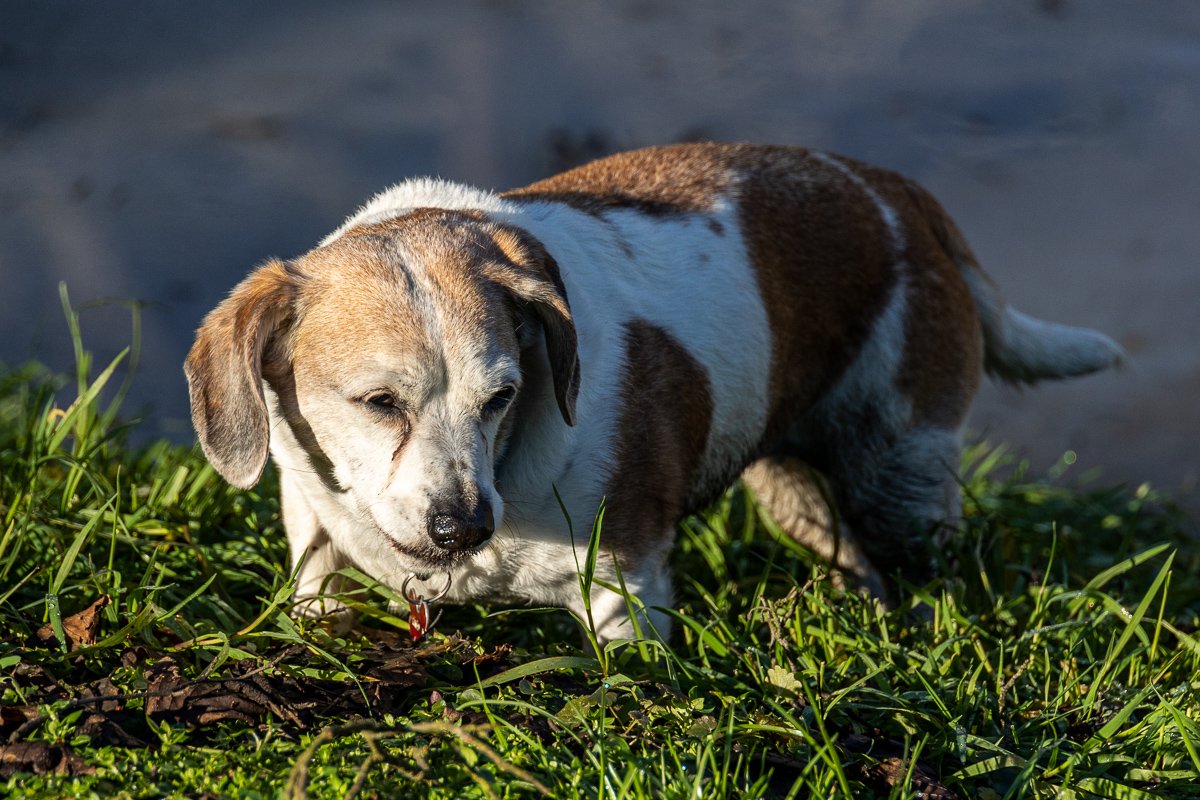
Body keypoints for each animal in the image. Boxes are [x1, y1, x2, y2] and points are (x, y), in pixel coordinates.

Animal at [182, 143, 1118, 642]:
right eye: (380, 403)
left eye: (502, 397)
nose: (463, 527)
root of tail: (898, 195)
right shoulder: (315, 543)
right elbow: (317, 588)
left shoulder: (624, 589)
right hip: (792, 484)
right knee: (850, 553)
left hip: (901, 471)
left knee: (926, 551)